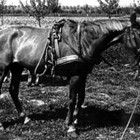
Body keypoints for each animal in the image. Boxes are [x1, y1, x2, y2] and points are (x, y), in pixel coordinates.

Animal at [0, 18, 130, 134]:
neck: (83, 41)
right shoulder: (75, 76)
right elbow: (72, 99)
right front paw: (70, 125)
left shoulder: (83, 75)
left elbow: (81, 98)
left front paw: (76, 120)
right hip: (2, 70)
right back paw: (2, 125)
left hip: (16, 68)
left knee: (13, 91)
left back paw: (25, 117)